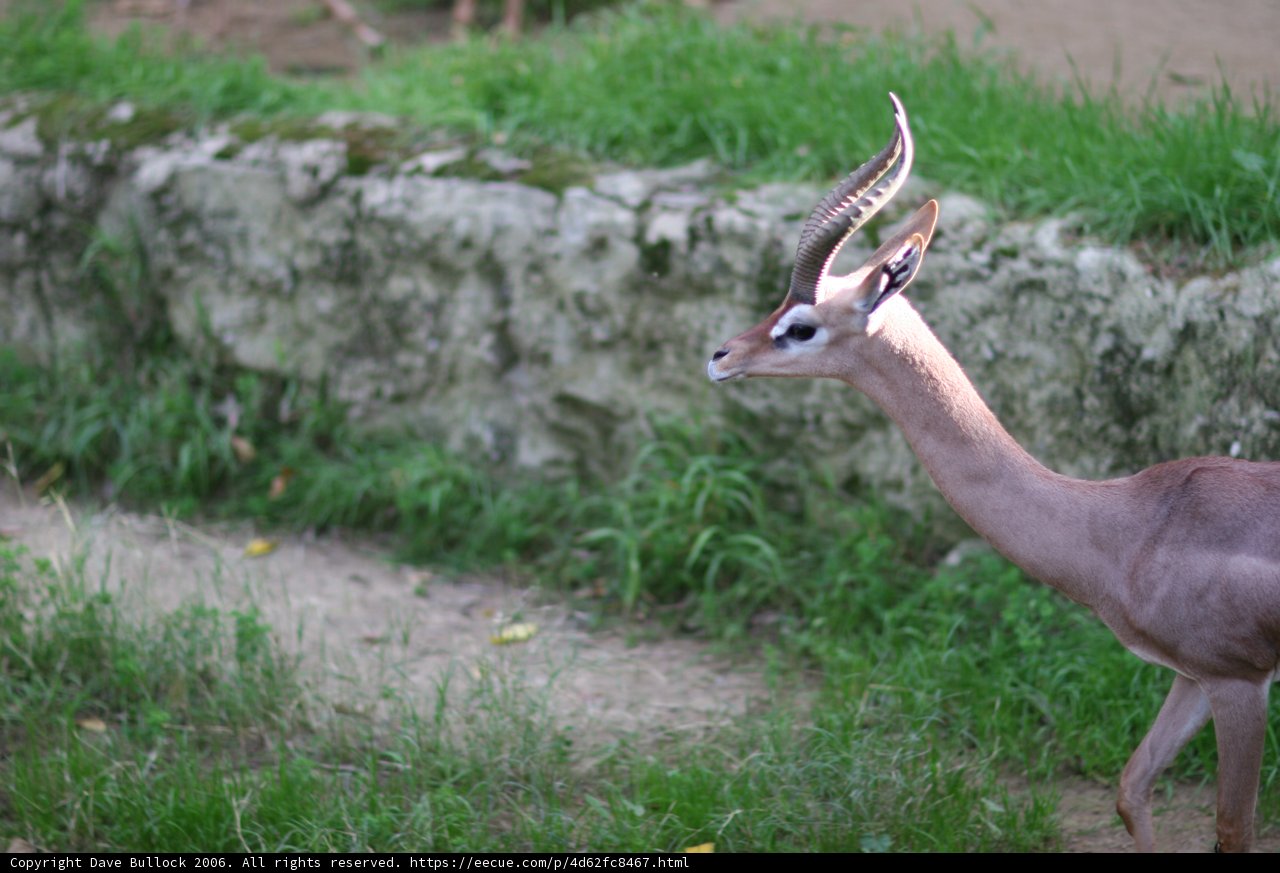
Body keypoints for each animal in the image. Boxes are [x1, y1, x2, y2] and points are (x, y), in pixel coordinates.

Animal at [707, 94, 1280, 852]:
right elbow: (1131, 788)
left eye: (800, 325)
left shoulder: (1240, 681)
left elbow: (1232, 827)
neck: (1129, 526)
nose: (720, 355)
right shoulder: (1192, 675)